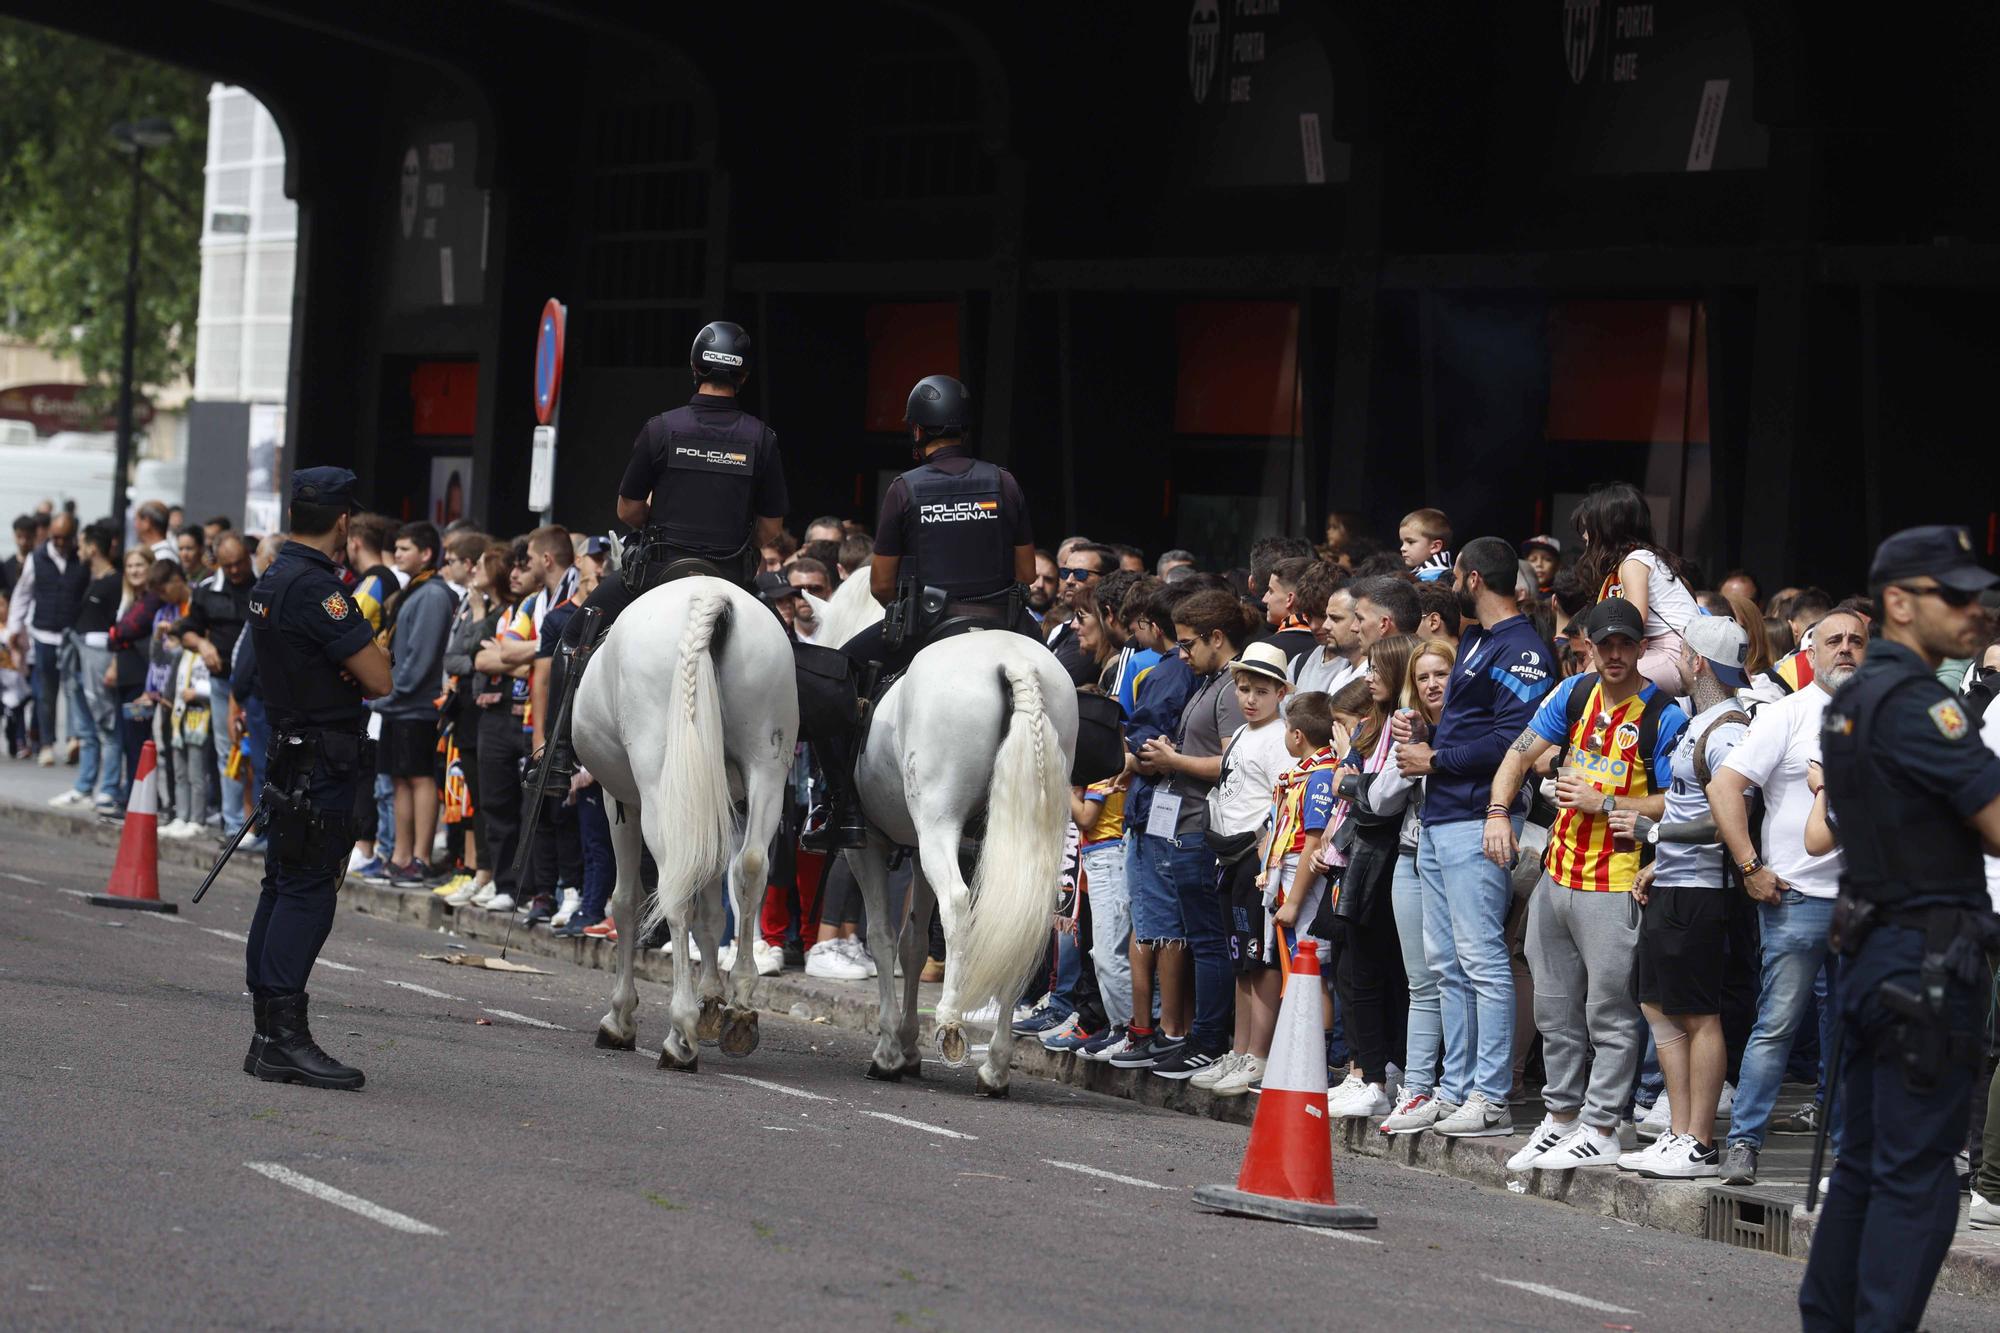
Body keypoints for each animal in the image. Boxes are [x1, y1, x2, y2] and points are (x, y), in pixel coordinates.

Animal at [572, 572, 796, 1072]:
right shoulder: (715, 802)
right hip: (766, 766)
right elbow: (712, 905)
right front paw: (713, 1000)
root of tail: (709, 595)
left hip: (661, 785)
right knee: (751, 867)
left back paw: (680, 1034)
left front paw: (621, 1018)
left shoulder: (621, 801)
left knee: (672, 889)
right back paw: (741, 1007)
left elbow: (627, 900)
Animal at [812, 576, 1080, 1096]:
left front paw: (889, 1051)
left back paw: (952, 1021)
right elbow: (915, 941)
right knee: (1020, 915)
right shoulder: (917, 851)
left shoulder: (867, 846)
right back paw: (994, 1066)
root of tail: (1014, 663)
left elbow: (882, 936)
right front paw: (907, 1046)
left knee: (957, 903)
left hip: (939, 823)